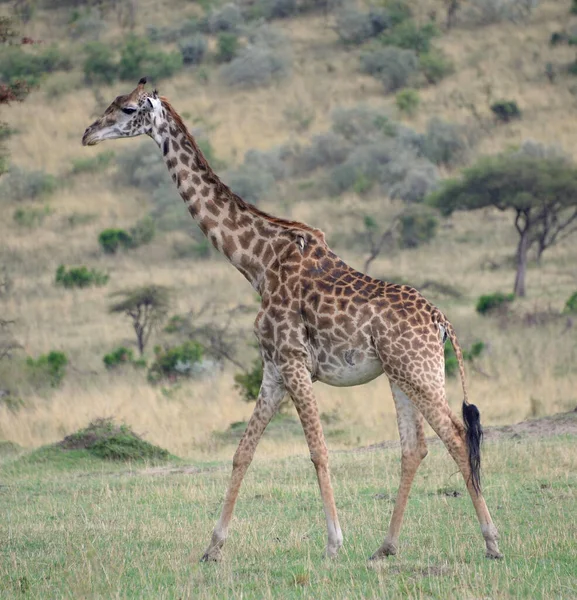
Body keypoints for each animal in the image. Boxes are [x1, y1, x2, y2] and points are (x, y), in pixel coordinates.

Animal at [81, 78, 500, 564]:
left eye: (128, 108)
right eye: (111, 103)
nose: (88, 133)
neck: (256, 264)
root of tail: (441, 321)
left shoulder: (295, 361)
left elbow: (318, 451)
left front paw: (334, 543)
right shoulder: (273, 369)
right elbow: (242, 452)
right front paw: (213, 546)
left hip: (419, 371)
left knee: (456, 435)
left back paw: (491, 541)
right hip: (401, 374)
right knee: (414, 447)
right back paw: (386, 546)